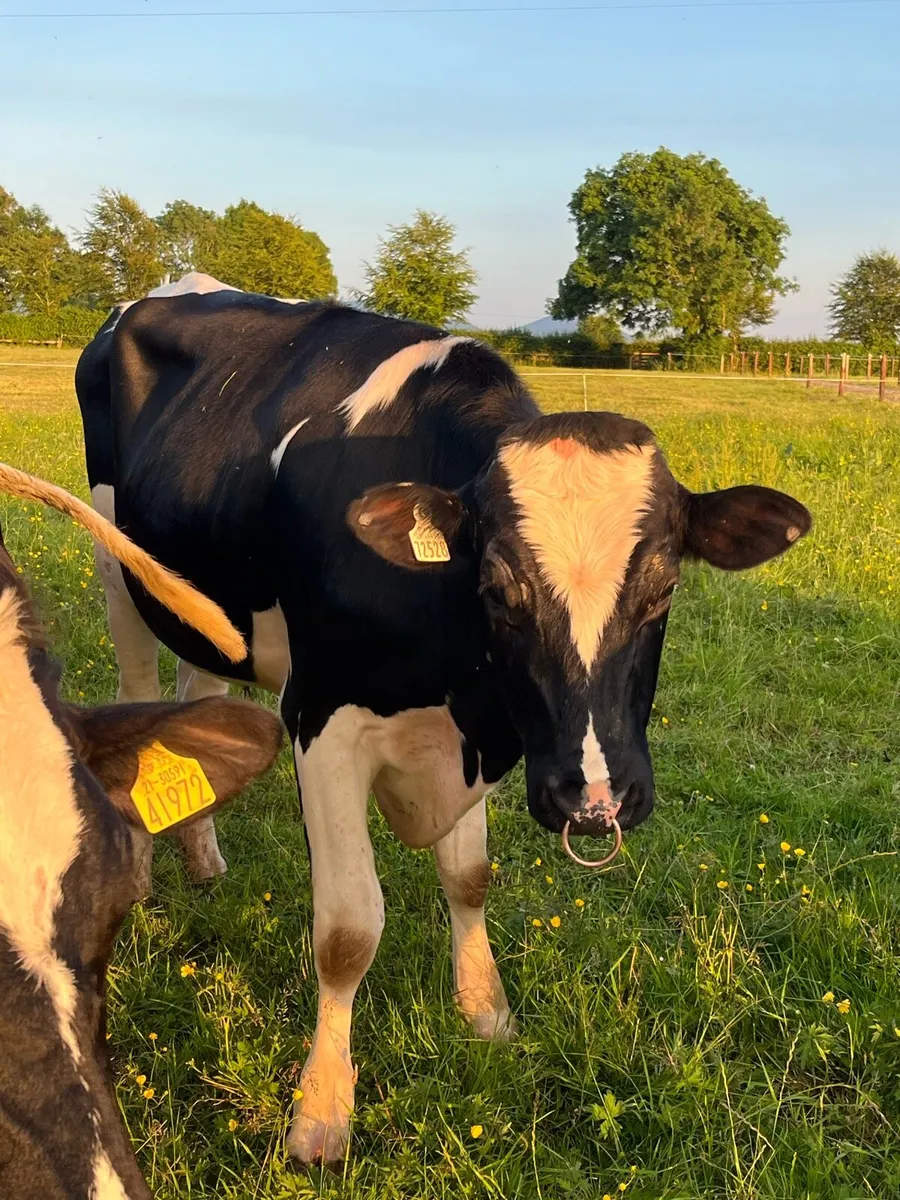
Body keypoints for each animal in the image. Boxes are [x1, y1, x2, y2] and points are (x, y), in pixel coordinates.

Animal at [75, 274, 811, 1163]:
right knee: (139, 687)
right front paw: (322, 1111)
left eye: (665, 587)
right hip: (119, 567)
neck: (460, 691)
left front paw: (485, 1012)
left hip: (207, 605)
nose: (595, 800)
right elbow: (348, 930)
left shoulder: (482, 740)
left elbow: (469, 877)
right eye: (498, 589)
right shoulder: (321, 720)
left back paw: (204, 855)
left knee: (199, 694)